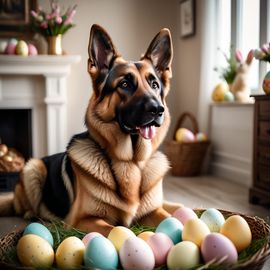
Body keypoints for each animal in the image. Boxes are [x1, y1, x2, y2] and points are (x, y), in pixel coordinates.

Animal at [0, 25, 179, 236]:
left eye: (154, 85)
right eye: (125, 84)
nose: (157, 109)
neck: (130, 161)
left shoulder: (154, 211)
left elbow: (174, 219)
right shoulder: (82, 220)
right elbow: (115, 229)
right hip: (33, 167)